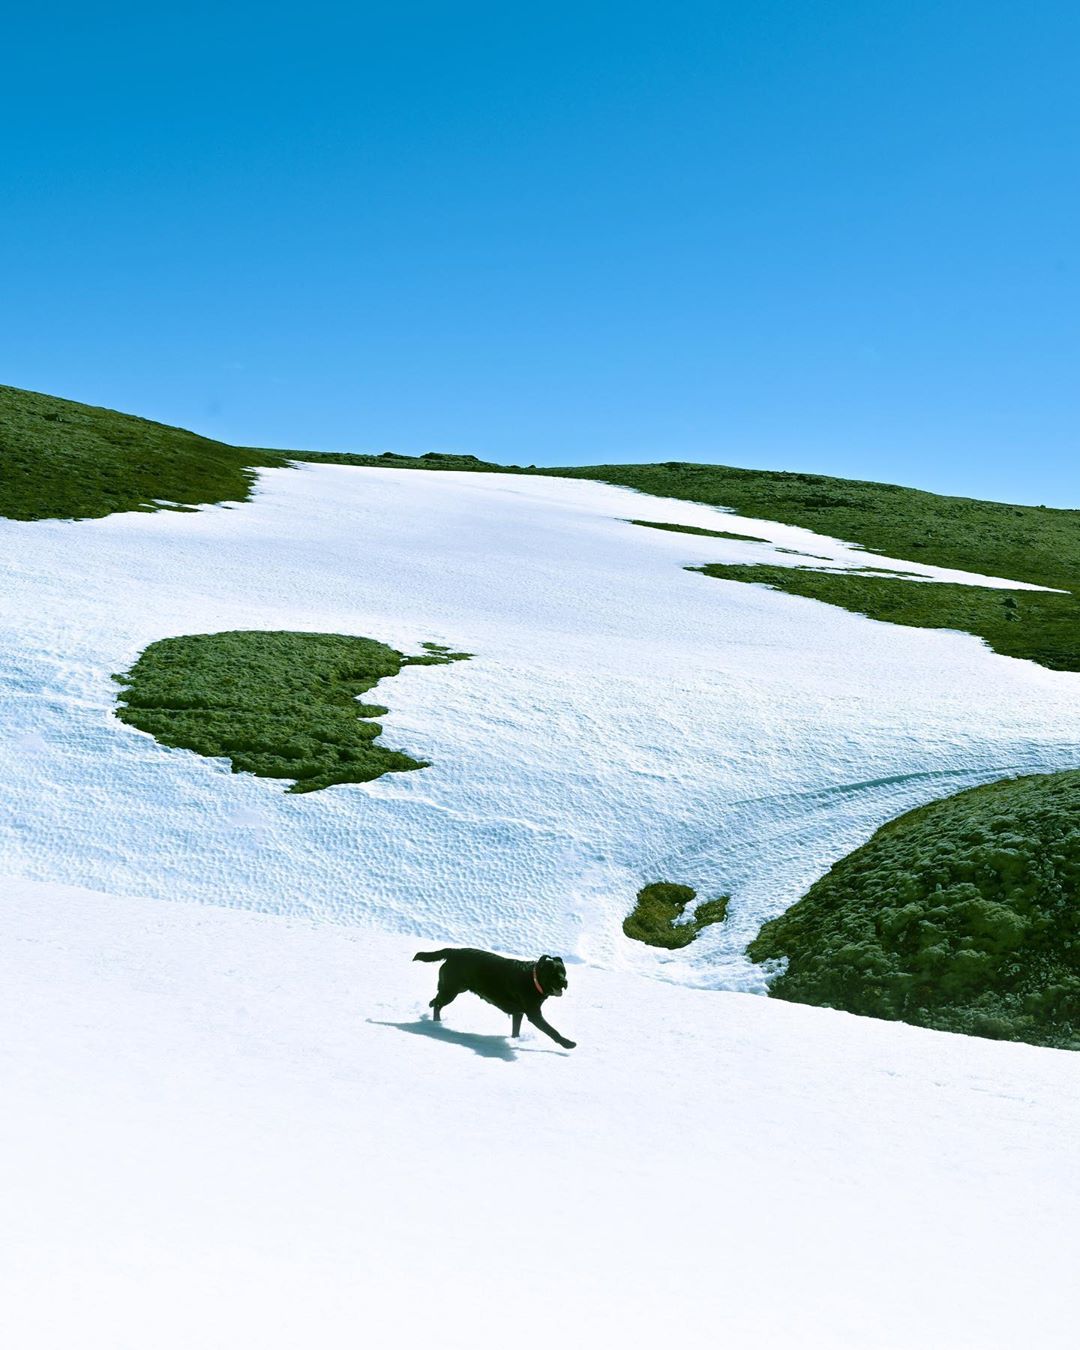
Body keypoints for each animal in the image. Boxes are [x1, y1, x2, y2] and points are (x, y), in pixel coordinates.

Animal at [413, 945, 577, 1047]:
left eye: (564, 972)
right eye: (553, 973)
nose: (565, 981)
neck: (533, 978)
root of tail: (454, 951)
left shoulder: (518, 1013)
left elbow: (516, 1030)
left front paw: (515, 1040)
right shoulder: (534, 1014)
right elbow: (552, 1031)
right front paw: (568, 1044)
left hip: (453, 988)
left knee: (435, 1000)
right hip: (451, 990)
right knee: (437, 1004)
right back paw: (436, 1023)